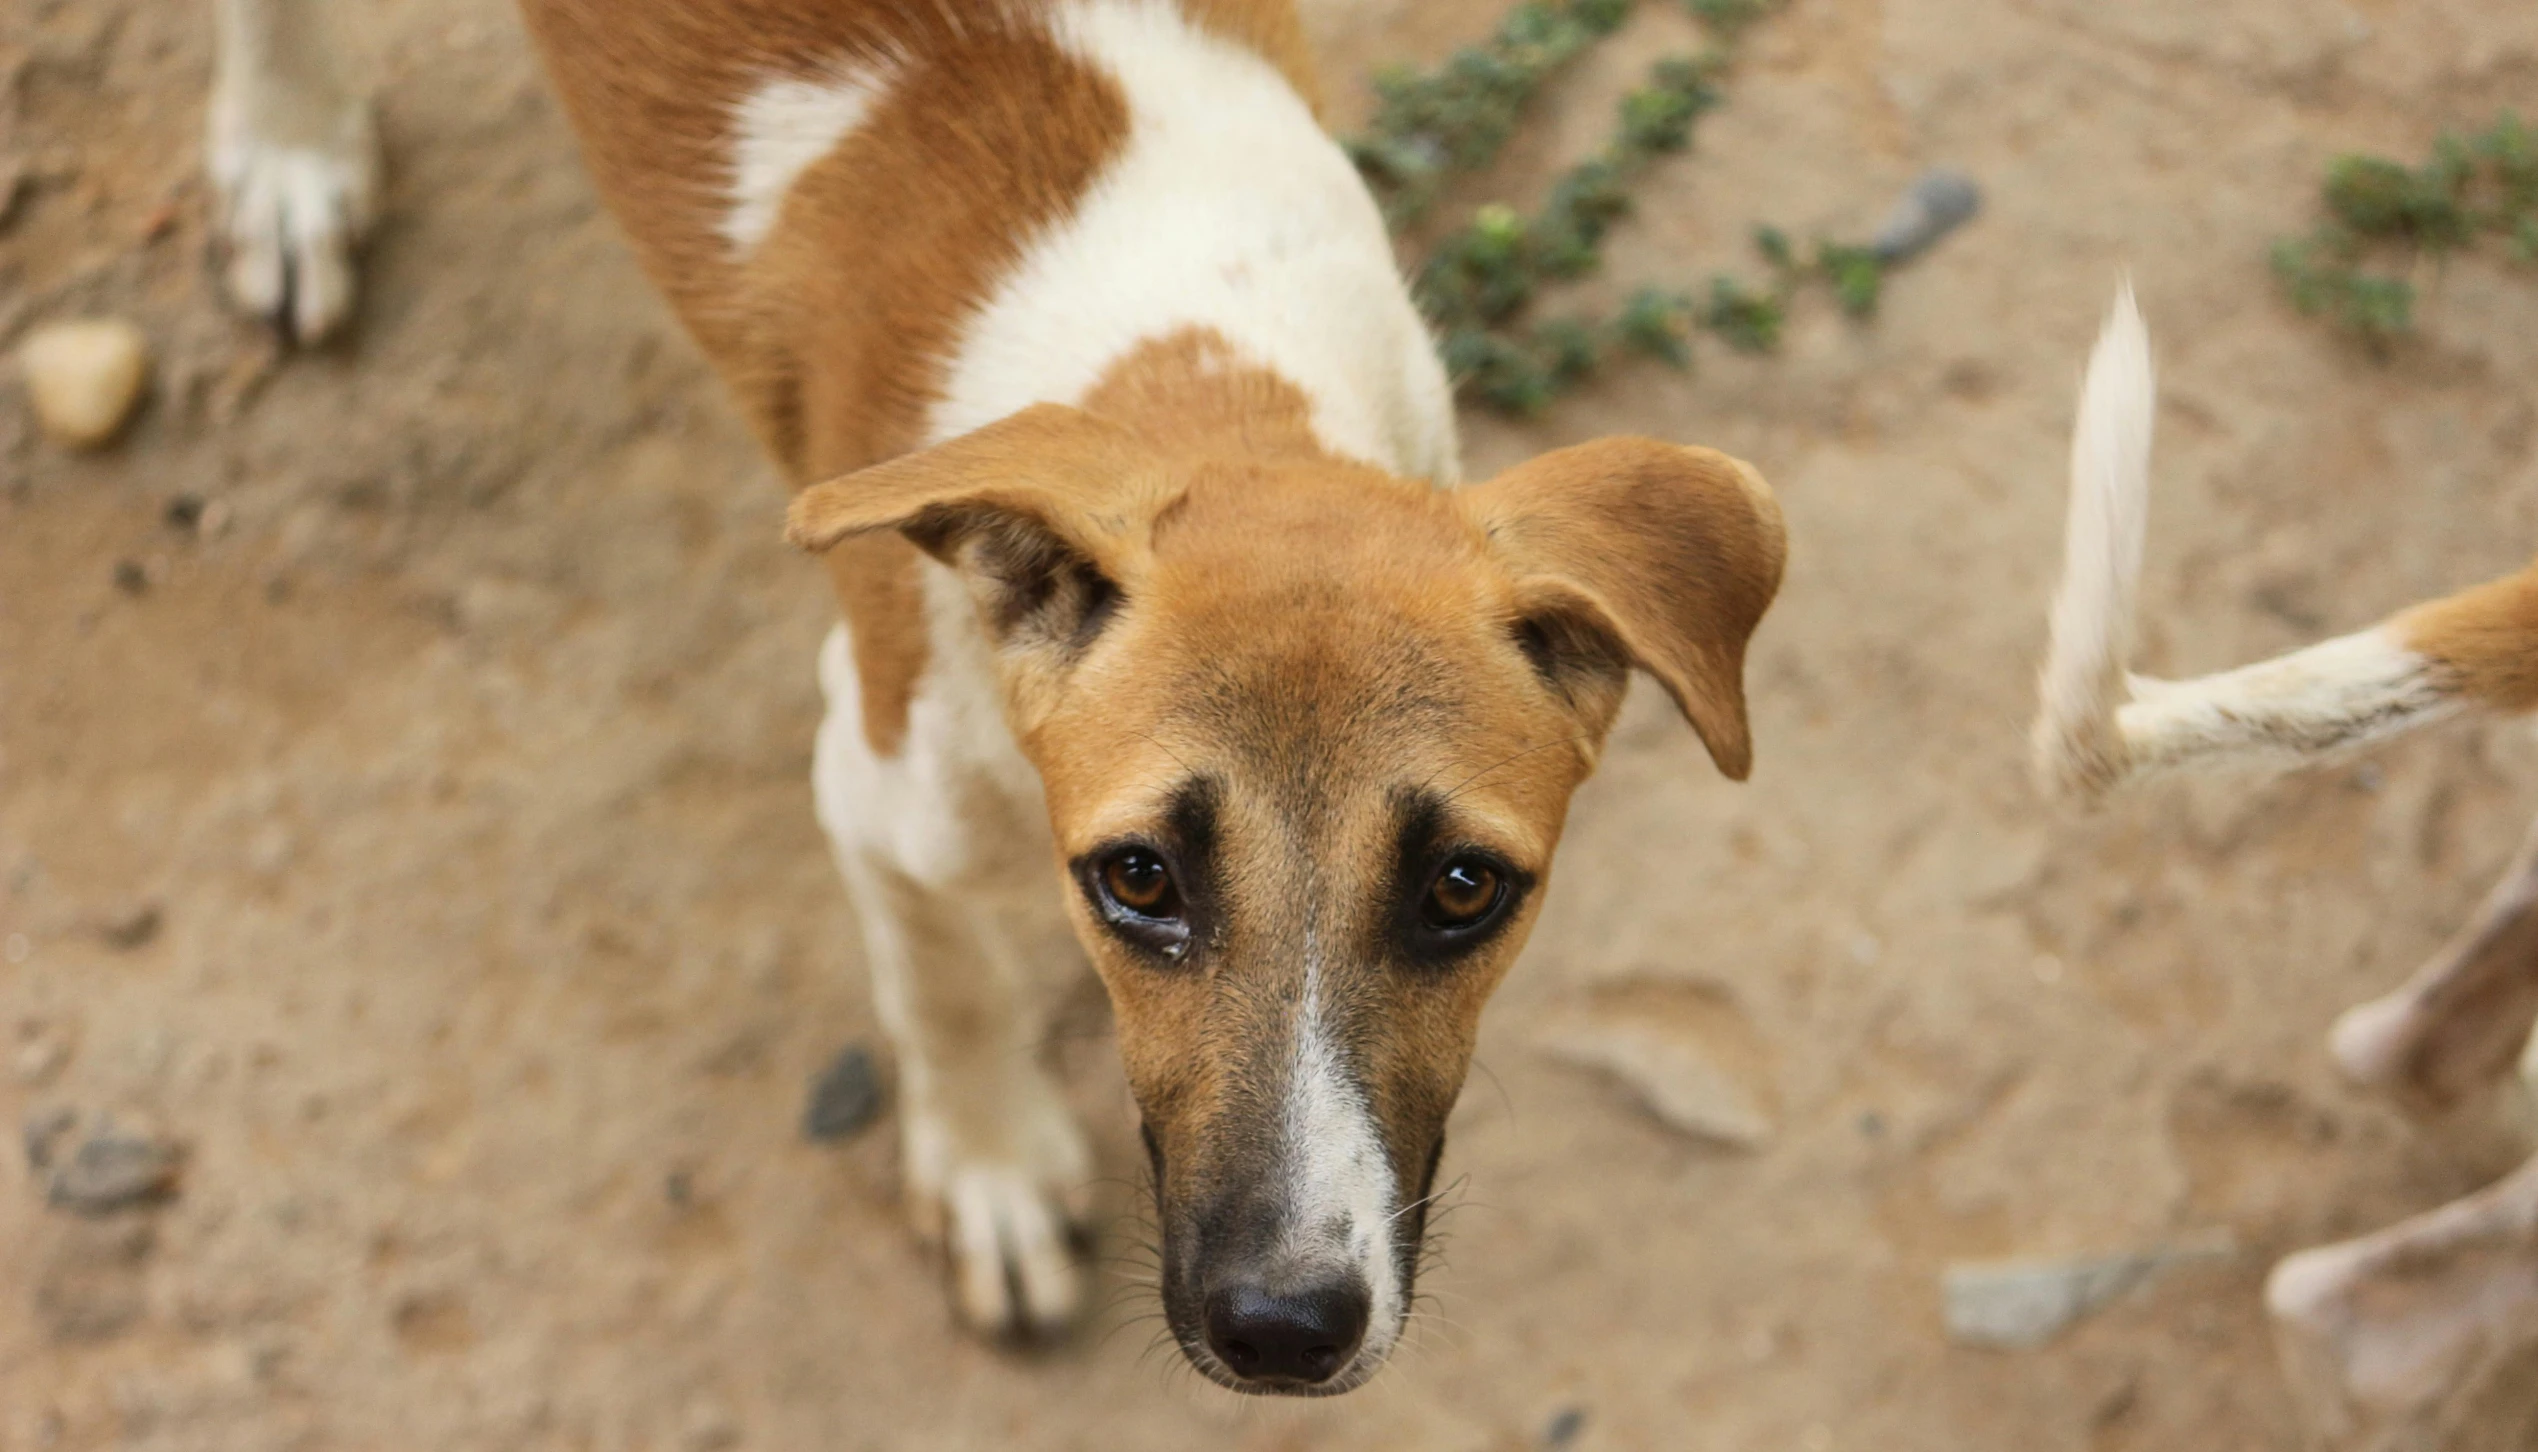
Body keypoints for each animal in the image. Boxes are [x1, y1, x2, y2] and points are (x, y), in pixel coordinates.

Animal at [208, 0, 1796, 1391]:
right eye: (1137, 877)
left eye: (1465, 888)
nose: (1284, 1333)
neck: (1201, 363)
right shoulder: (875, 787)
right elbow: (948, 983)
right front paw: (991, 1174)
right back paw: (288, 151)